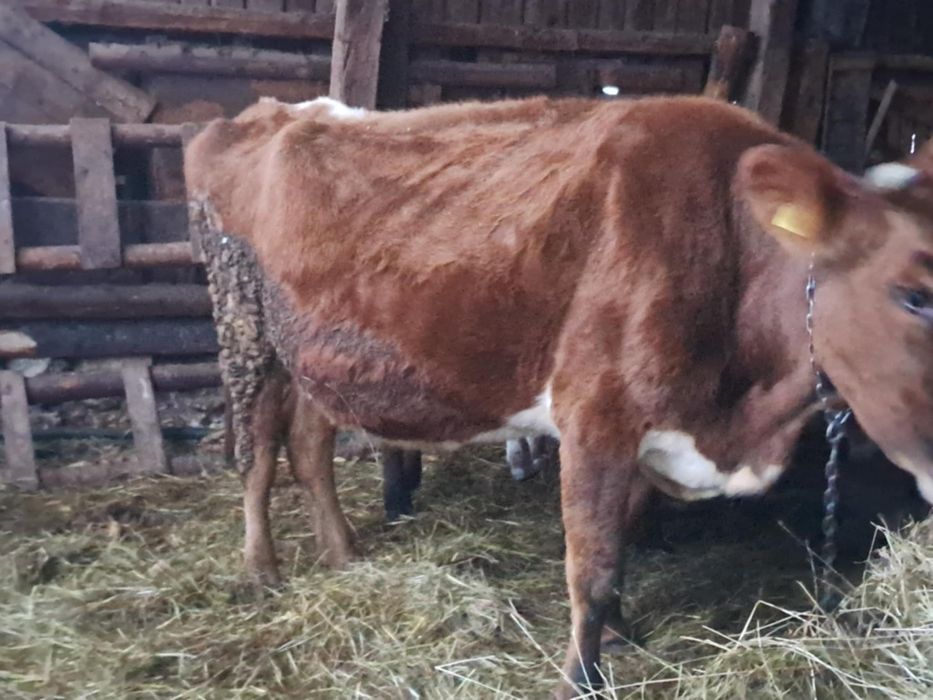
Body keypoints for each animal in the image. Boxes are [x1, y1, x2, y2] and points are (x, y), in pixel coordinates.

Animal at [185, 94, 933, 697]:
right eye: (915, 295)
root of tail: (266, 111)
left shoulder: (646, 431)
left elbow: (622, 539)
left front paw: (619, 635)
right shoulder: (596, 413)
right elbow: (592, 566)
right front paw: (581, 678)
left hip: (312, 350)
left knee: (309, 447)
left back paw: (342, 554)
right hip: (243, 327)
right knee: (257, 453)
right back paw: (261, 568)